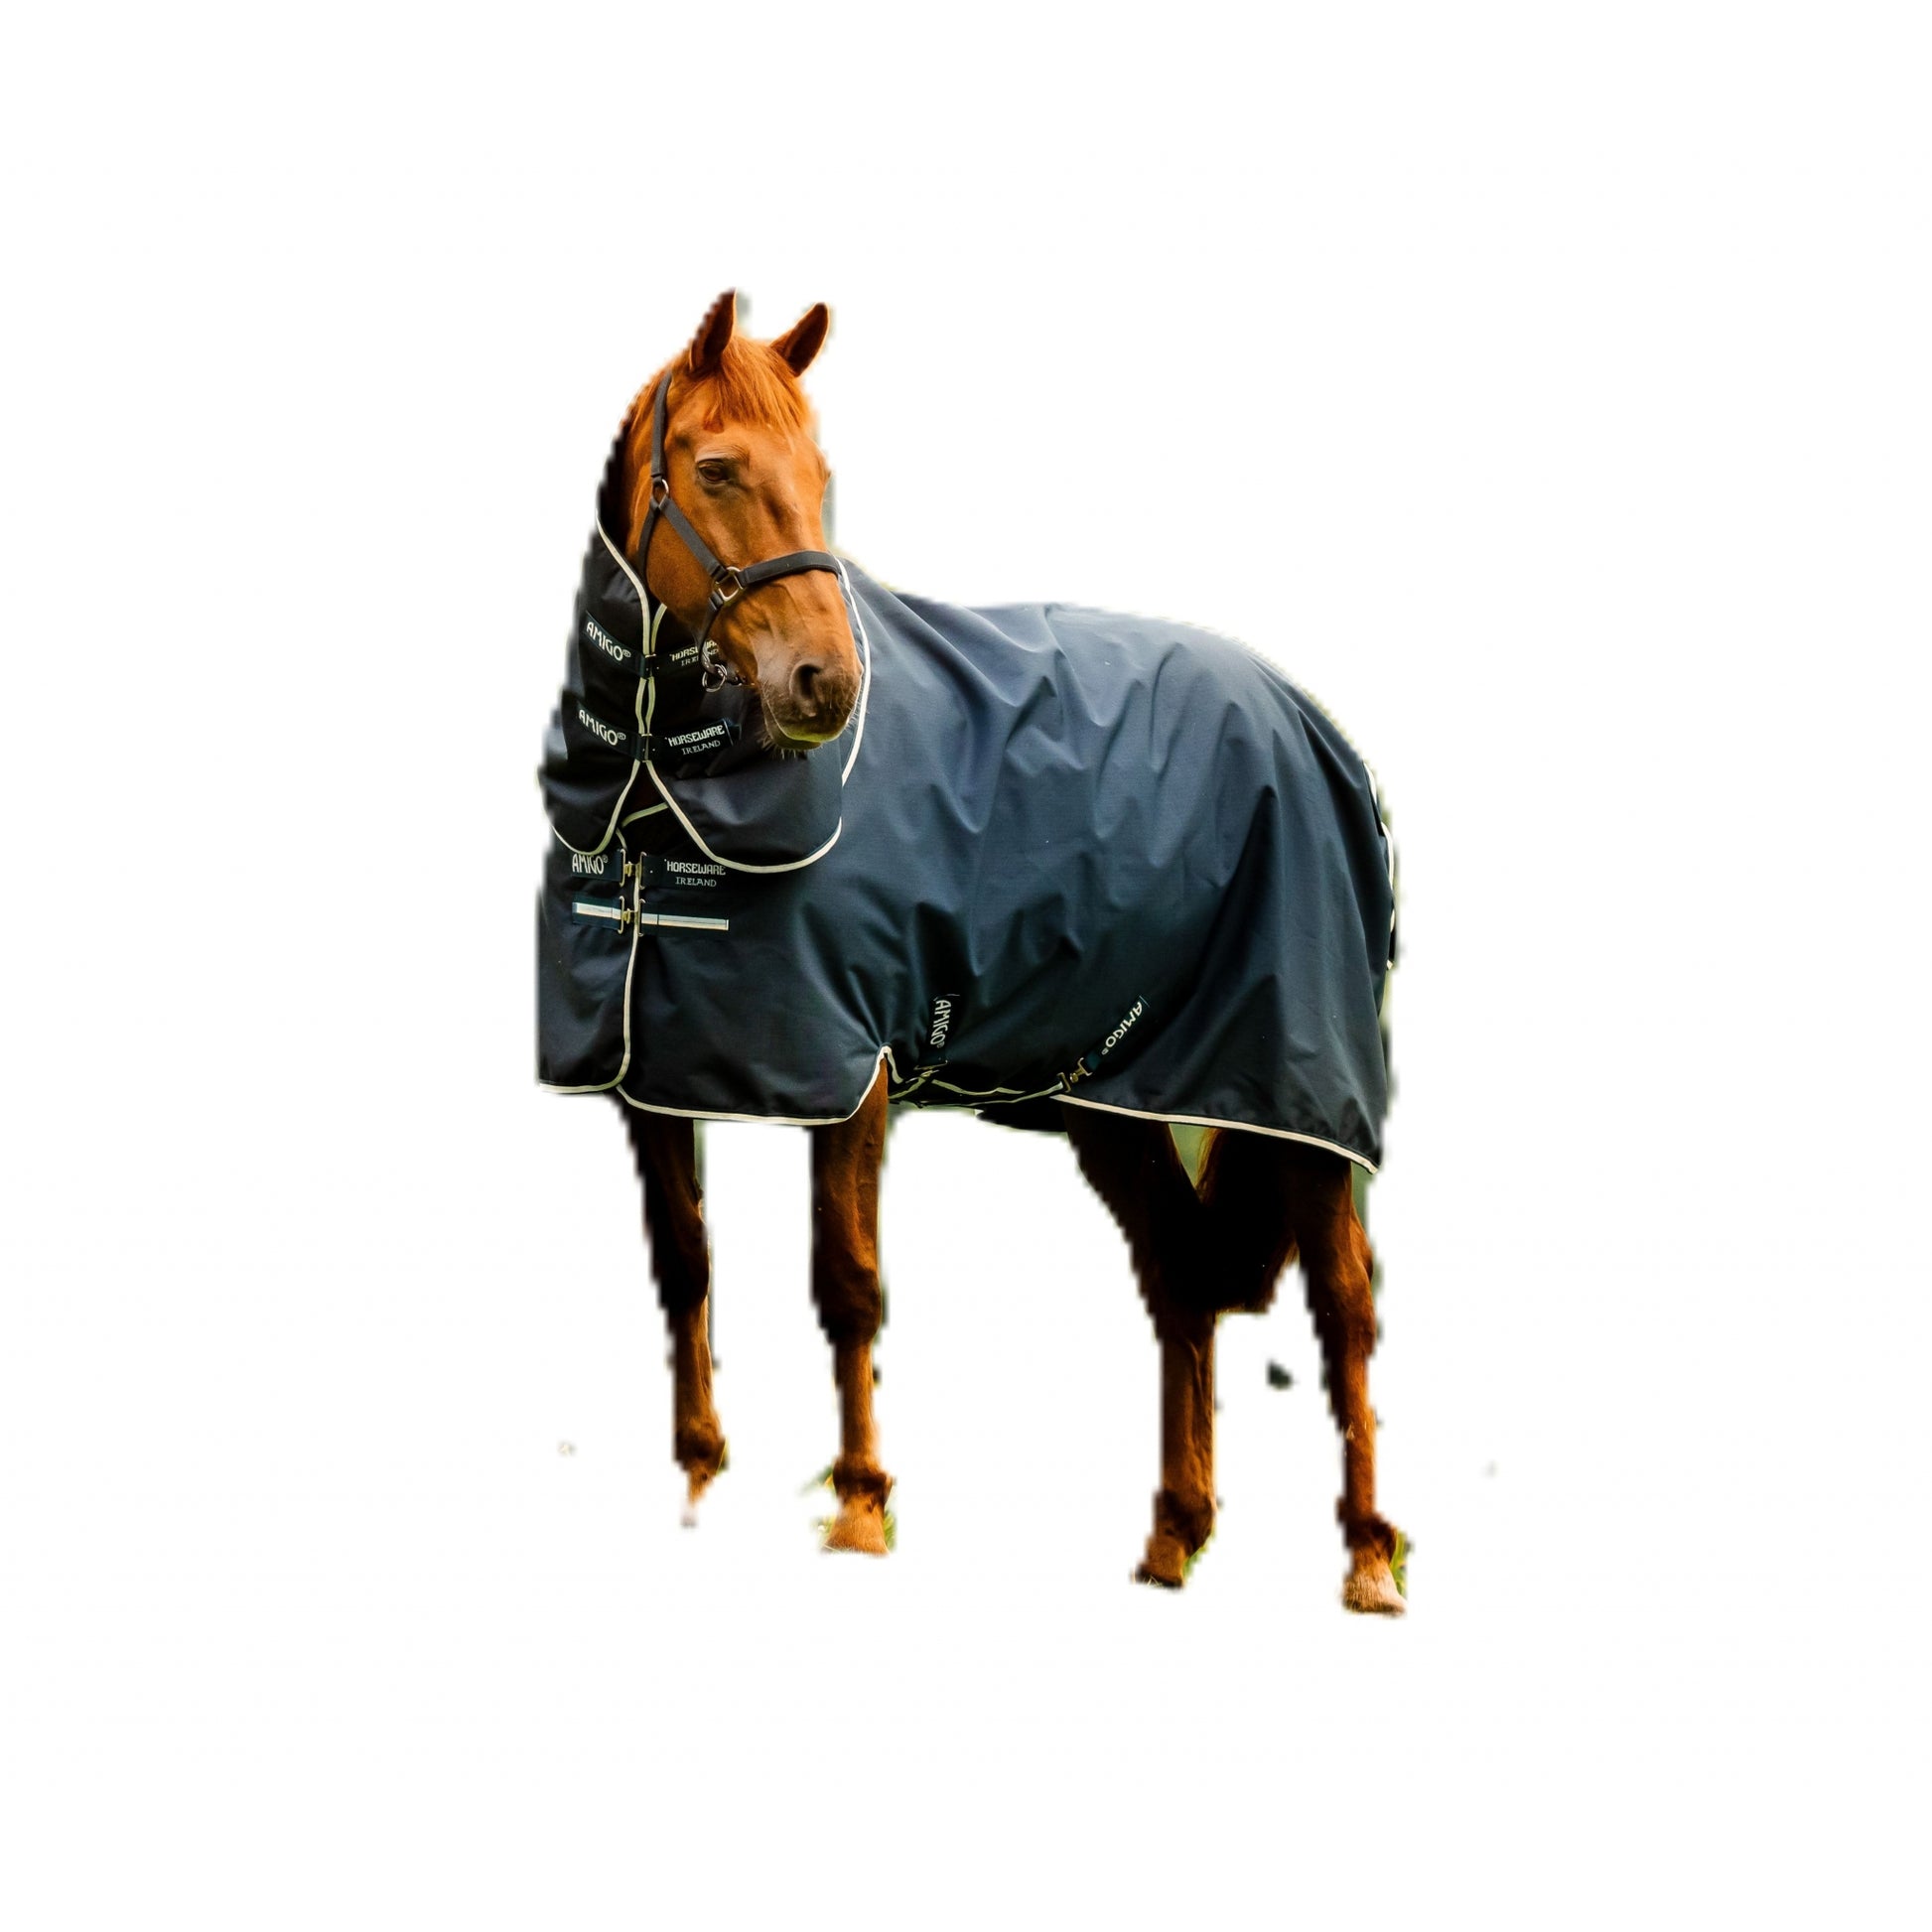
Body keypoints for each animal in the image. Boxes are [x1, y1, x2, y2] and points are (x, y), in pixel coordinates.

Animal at [540, 291, 1406, 1613]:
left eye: (821, 475)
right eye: (717, 467)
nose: (825, 687)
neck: (655, 806)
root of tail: (1309, 723)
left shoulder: (851, 1076)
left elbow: (848, 1284)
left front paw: (858, 1508)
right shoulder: (651, 1078)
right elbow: (684, 1266)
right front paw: (696, 1475)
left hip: (1298, 1095)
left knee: (1344, 1309)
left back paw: (1365, 1555)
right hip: (1116, 1101)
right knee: (1180, 1280)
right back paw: (1171, 1536)